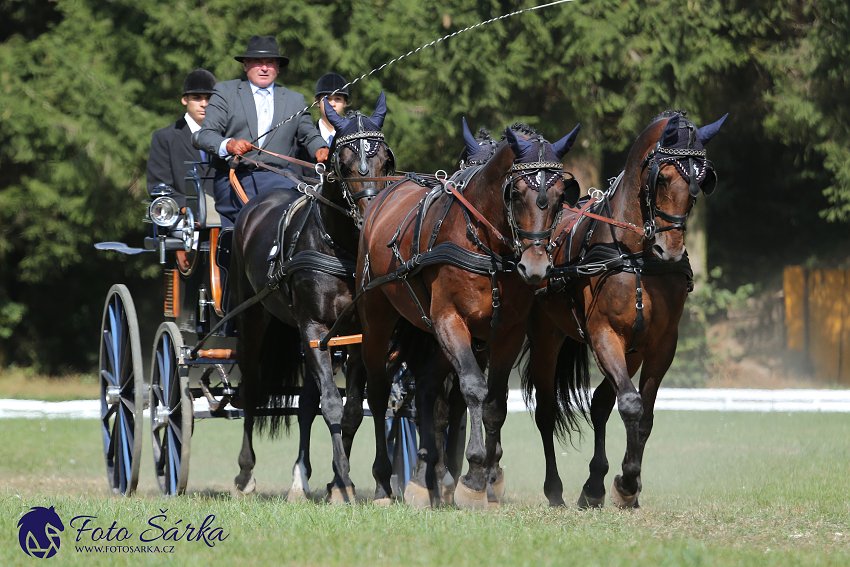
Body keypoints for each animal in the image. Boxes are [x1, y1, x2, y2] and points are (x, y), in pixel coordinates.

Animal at [229, 93, 394, 502]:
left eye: (385, 159)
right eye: (343, 162)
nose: (371, 216)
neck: (342, 246)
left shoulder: (358, 334)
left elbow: (356, 407)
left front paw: (353, 482)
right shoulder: (315, 328)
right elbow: (332, 405)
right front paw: (345, 481)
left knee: (305, 404)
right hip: (252, 316)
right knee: (251, 388)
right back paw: (245, 474)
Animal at [354, 118, 580, 506]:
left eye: (558, 198)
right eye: (516, 193)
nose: (535, 267)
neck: (486, 245)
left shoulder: (507, 332)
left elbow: (495, 402)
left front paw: (482, 478)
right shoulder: (449, 320)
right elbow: (473, 388)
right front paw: (474, 473)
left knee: (427, 385)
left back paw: (425, 479)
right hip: (376, 317)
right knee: (380, 392)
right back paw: (384, 482)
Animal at [520, 108, 724, 508]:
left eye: (701, 181)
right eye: (663, 177)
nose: (669, 250)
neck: (635, 256)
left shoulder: (660, 345)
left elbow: (643, 413)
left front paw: (626, 483)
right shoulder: (604, 334)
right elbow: (630, 403)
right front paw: (626, 483)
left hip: (630, 351)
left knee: (600, 403)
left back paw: (593, 485)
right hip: (547, 337)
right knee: (547, 411)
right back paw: (555, 489)